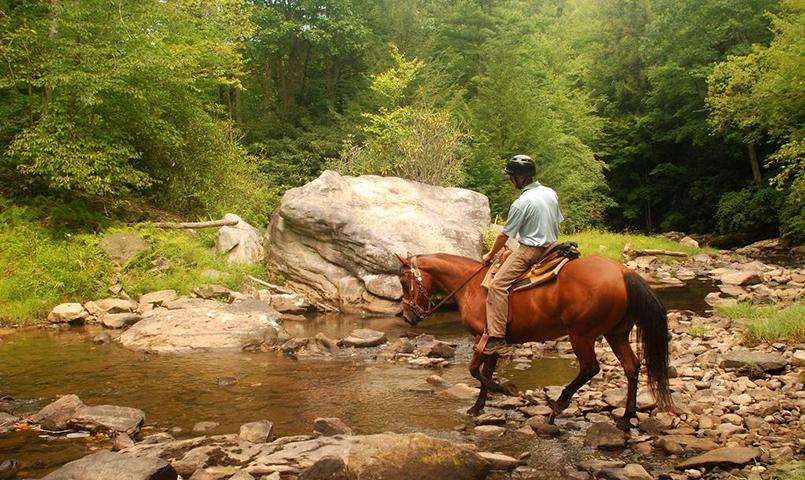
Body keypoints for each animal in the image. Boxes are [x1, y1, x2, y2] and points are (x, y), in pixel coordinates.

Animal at [398, 253, 672, 430]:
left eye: (402, 281)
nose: (408, 316)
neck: (472, 285)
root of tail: (624, 271)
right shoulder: (493, 343)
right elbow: (485, 373)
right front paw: (478, 407)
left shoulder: (480, 338)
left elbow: (475, 370)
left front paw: (506, 390)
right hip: (616, 334)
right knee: (631, 367)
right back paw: (626, 418)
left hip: (582, 334)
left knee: (590, 368)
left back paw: (558, 405)